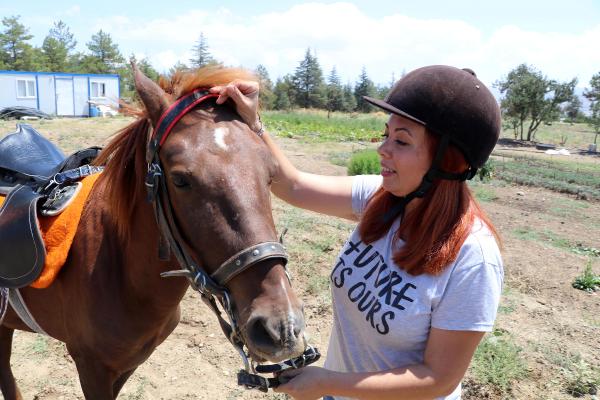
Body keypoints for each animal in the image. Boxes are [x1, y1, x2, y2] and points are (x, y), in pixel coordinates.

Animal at [0, 64, 308, 398]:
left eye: (271, 174)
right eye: (180, 180)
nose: (282, 328)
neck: (119, 268)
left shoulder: (128, 363)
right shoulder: (91, 366)